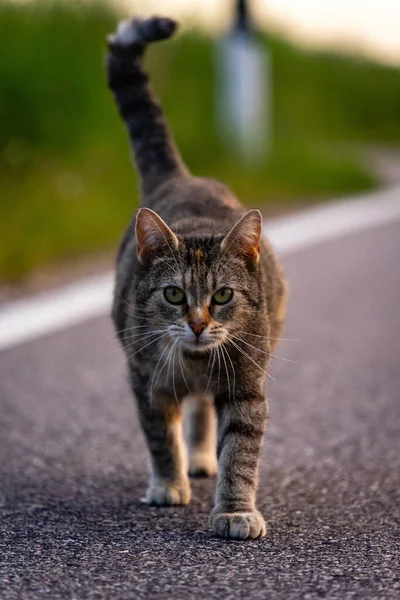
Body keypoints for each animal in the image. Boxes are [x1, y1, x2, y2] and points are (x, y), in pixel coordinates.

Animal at [106, 15, 288, 540]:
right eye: (173, 294)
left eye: (223, 295)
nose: (199, 323)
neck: (194, 361)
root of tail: (181, 175)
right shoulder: (147, 380)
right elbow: (161, 438)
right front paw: (169, 485)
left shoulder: (246, 385)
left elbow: (240, 453)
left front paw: (234, 511)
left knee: (205, 412)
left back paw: (205, 457)